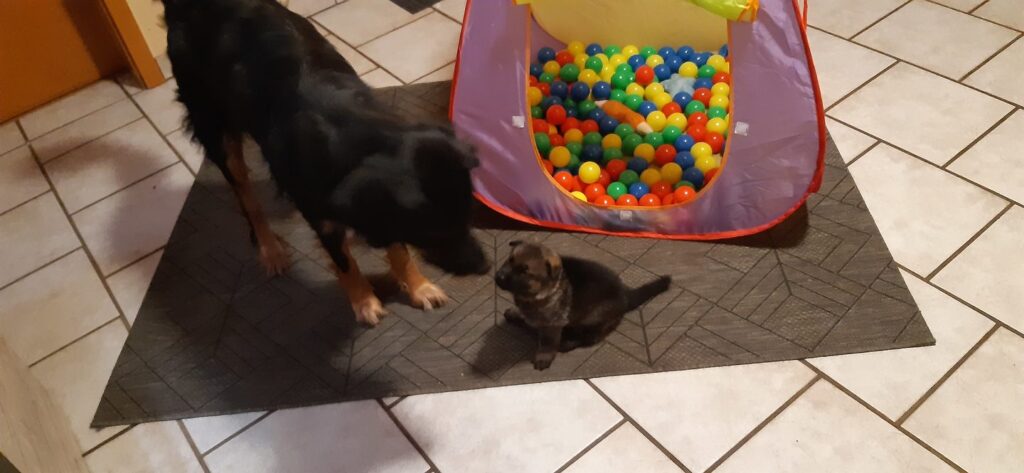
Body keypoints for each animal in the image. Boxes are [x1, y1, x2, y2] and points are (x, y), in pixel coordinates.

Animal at [161, 0, 490, 326]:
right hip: (216, 131)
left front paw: (418, 286)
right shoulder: (321, 214)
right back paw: (270, 249)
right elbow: (343, 261)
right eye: (434, 233)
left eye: (468, 217)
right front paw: (364, 301)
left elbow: (399, 249)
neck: (349, 130)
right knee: (247, 199)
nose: (484, 267)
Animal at [495, 241, 671, 370]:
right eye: (509, 260)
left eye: (524, 271)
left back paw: (568, 342)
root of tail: (625, 296)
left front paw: (543, 356)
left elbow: (547, 342)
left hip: (592, 318)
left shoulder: (553, 324)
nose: (499, 277)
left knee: (590, 337)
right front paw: (516, 313)